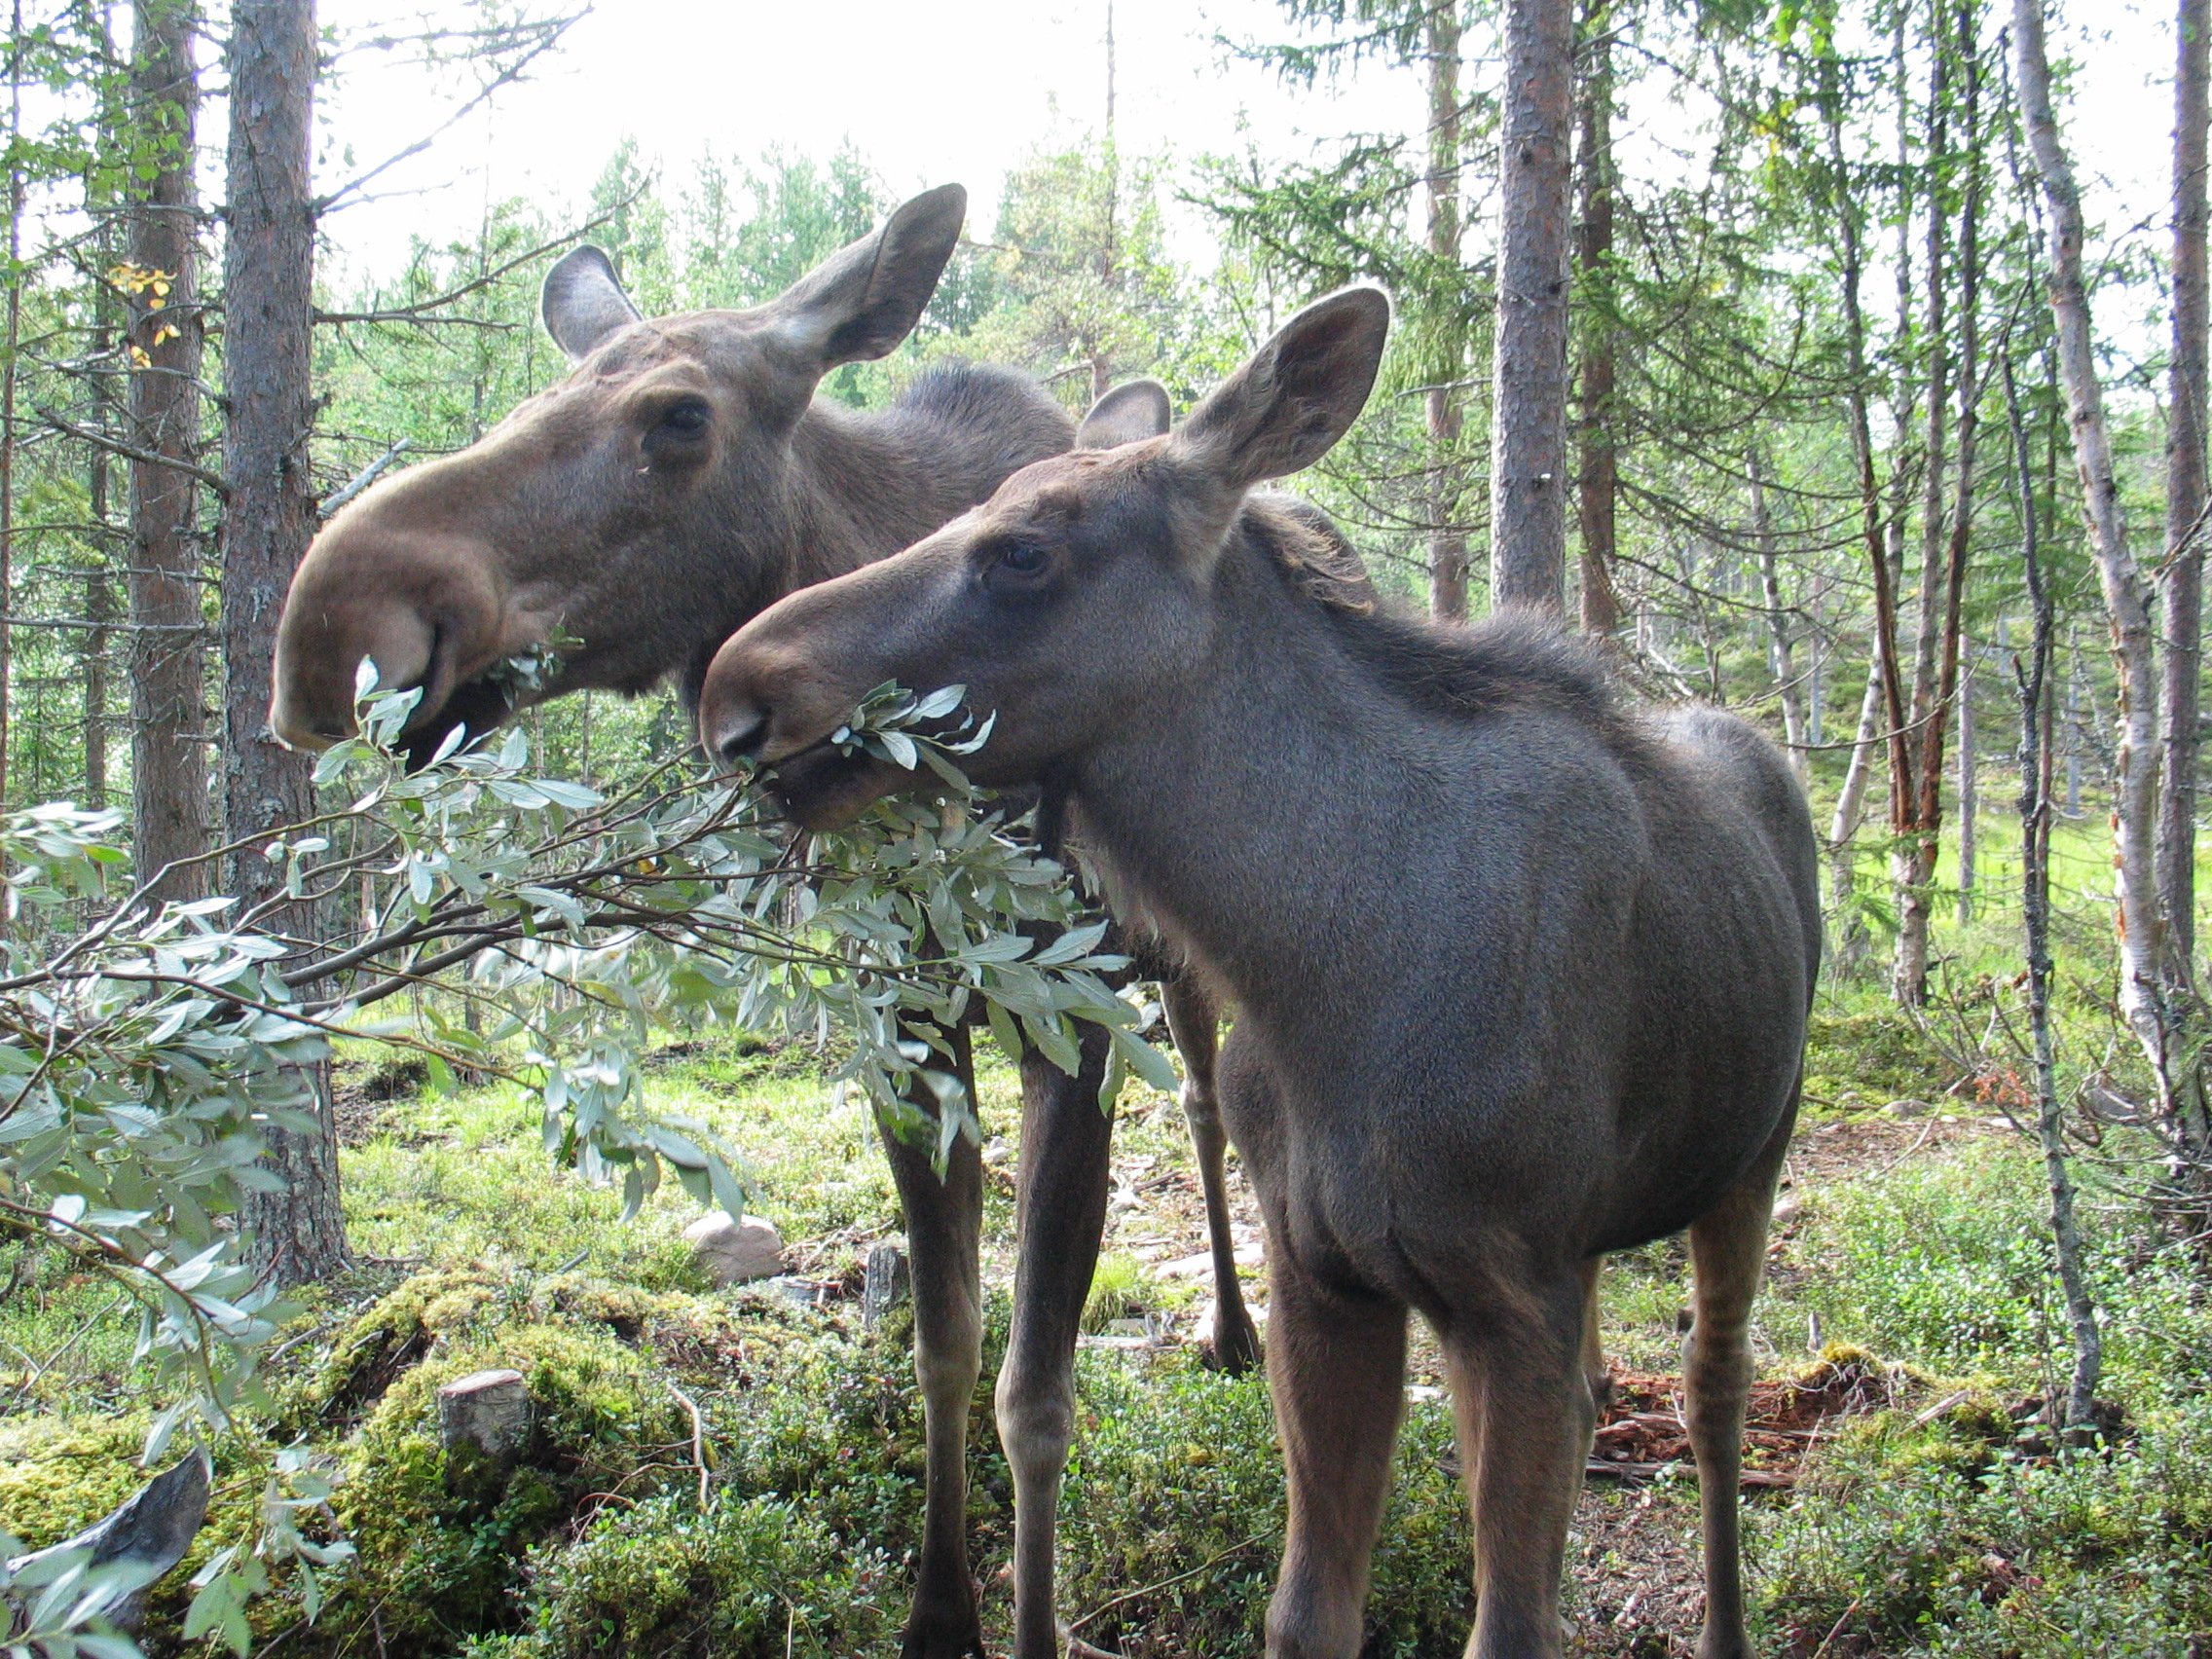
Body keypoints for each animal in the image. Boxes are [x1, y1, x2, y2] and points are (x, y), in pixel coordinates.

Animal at [263, 184, 1265, 1659]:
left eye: (679, 417)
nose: (334, 625)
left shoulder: (1069, 1024)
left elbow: (1037, 1389)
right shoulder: (902, 1033)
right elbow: (945, 1338)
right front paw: (938, 1615)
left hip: (1189, 970)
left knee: (1207, 1105)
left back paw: (1242, 1334)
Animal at [698, 289, 1823, 1659]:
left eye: (1023, 548)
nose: (737, 687)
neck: (1325, 973)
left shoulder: (1516, 1296)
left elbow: (1510, 1622)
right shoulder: (1329, 1277)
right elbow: (1306, 1615)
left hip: (1751, 1155)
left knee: (1718, 1395)